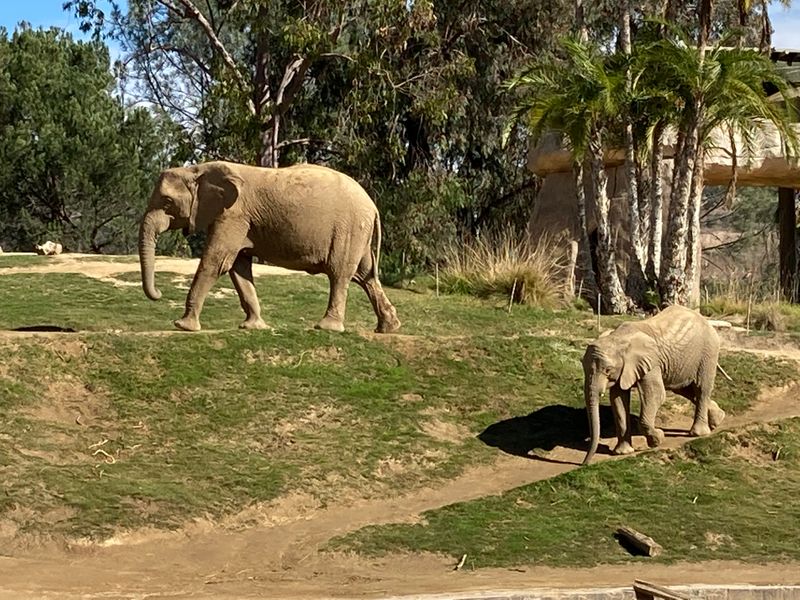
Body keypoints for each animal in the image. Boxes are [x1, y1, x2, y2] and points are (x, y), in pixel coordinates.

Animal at [138, 160, 401, 334]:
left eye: (167, 202)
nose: (158, 294)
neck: (198, 169)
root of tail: (373, 206)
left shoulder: (233, 215)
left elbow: (217, 261)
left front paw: (183, 326)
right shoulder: (240, 220)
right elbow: (239, 267)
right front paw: (253, 327)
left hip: (349, 229)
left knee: (340, 274)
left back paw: (327, 328)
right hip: (359, 233)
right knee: (365, 276)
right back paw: (387, 328)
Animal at [581, 304, 726, 465]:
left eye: (607, 370)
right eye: (583, 366)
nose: (584, 464)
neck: (617, 338)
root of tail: (706, 320)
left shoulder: (651, 362)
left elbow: (656, 395)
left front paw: (658, 439)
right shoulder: (626, 369)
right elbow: (618, 400)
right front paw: (622, 452)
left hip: (708, 352)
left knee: (701, 389)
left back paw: (698, 433)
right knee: (685, 390)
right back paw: (718, 419)